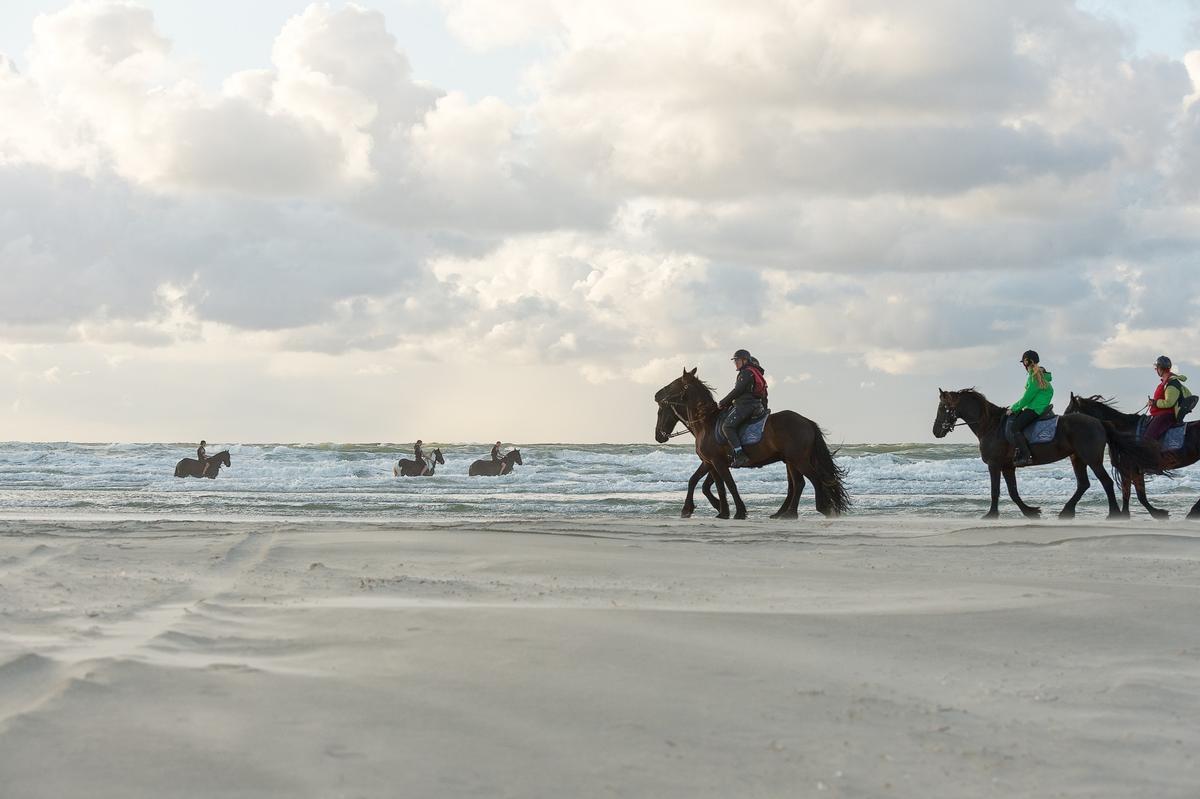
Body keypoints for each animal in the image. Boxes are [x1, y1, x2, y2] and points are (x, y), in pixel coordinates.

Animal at [655, 368, 850, 520]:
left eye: (673, 384)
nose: (657, 395)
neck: (706, 422)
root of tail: (807, 422)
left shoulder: (717, 462)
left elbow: (728, 484)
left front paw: (738, 511)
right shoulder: (710, 462)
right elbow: (701, 483)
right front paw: (713, 510)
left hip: (798, 460)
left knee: (812, 479)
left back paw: (818, 508)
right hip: (791, 461)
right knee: (797, 484)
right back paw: (785, 513)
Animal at [933, 388, 1163, 519]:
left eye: (943, 407)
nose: (935, 431)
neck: (991, 425)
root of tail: (1099, 422)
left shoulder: (994, 465)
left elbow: (996, 491)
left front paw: (990, 515)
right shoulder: (1007, 466)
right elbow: (1013, 492)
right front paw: (1030, 511)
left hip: (1092, 459)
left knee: (1105, 482)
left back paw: (1113, 514)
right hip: (1077, 458)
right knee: (1084, 484)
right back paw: (1066, 511)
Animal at [1065, 393, 1198, 519]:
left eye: (1068, 413)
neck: (1123, 430)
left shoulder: (1132, 468)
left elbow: (1139, 495)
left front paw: (1157, 513)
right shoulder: (1126, 469)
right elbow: (1128, 493)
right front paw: (1126, 514)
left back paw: (1193, 512)